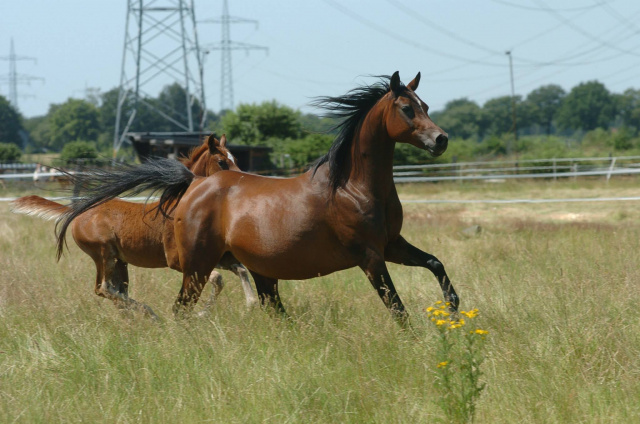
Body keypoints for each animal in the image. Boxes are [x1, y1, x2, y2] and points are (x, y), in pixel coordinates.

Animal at [10, 136, 258, 318]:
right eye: (222, 161)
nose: (242, 179)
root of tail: (79, 212)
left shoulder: (214, 255)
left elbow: (237, 271)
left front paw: (250, 303)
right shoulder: (177, 261)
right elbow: (216, 278)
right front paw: (200, 314)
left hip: (120, 262)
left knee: (115, 291)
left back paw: (135, 318)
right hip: (104, 255)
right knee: (104, 288)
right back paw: (150, 314)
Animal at [62, 72, 458, 324]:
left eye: (425, 104)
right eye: (407, 108)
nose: (441, 140)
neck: (352, 187)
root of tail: (195, 185)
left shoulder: (391, 245)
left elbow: (437, 266)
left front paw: (454, 314)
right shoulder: (370, 256)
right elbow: (398, 309)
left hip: (256, 269)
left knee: (271, 310)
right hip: (198, 267)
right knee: (180, 309)